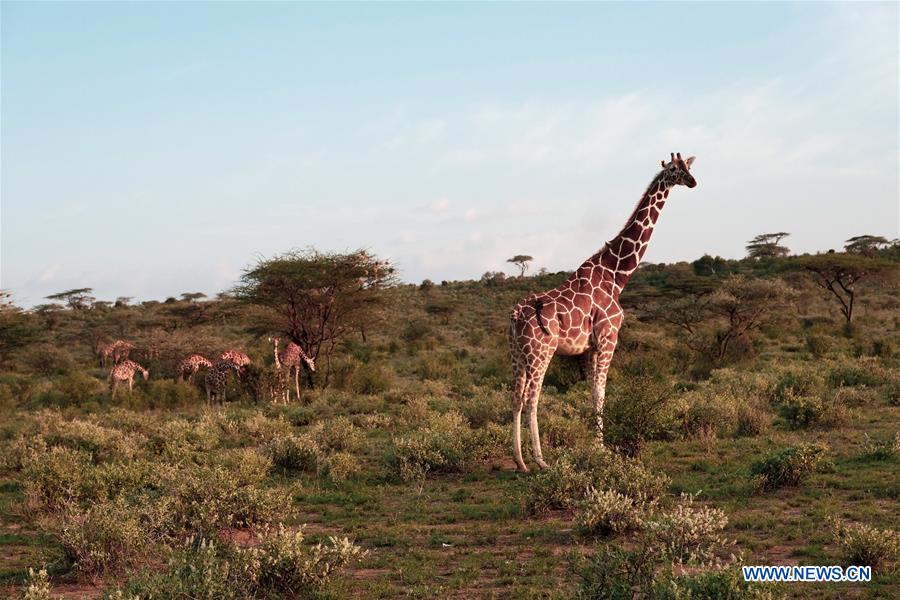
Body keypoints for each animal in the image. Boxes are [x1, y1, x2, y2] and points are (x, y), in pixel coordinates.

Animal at [506, 152, 696, 472]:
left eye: (688, 167)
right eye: (673, 170)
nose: (693, 182)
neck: (616, 274)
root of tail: (516, 316)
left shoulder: (591, 347)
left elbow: (592, 393)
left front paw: (595, 445)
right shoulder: (609, 337)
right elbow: (601, 393)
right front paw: (601, 449)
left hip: (518, 355)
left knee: (516, 397)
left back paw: (520, 461)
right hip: (541, 352)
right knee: (532, 398)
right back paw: (541, 460)